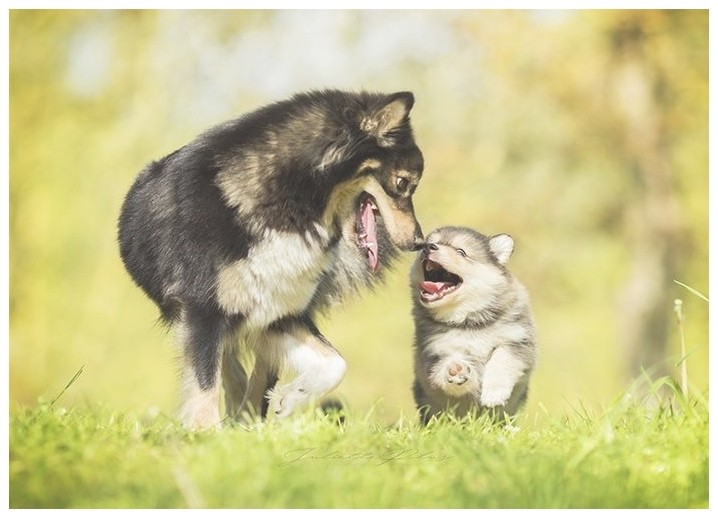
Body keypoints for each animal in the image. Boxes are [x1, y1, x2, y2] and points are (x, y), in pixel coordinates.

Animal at [116, 90, 422, 430]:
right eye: (403, 183)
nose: (419, 241)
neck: (290, 202)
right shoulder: (202, 309)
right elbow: (204, 381)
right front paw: (204, 432)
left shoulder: (279, 311)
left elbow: (335, 363)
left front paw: (288, 401)